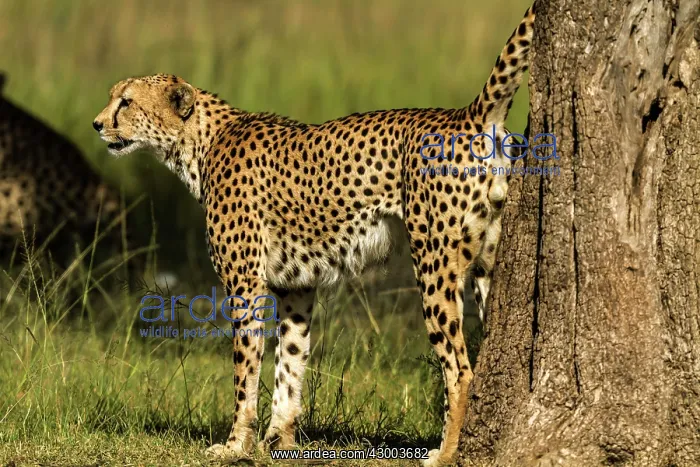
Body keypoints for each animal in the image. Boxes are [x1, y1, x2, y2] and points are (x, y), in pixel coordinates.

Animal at [93, 7, 534, 466]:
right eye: (114, 97)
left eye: (126, 102)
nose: (96, 124)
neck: (200, 143)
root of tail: (464, 115)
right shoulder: (297, 287)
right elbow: (289, 364)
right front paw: (278, 440)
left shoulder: (245, 285)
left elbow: (245, 371)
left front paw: (235, 444)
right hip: (487, 262)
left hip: (434, 262)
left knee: (460, 368)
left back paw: (445, 453)